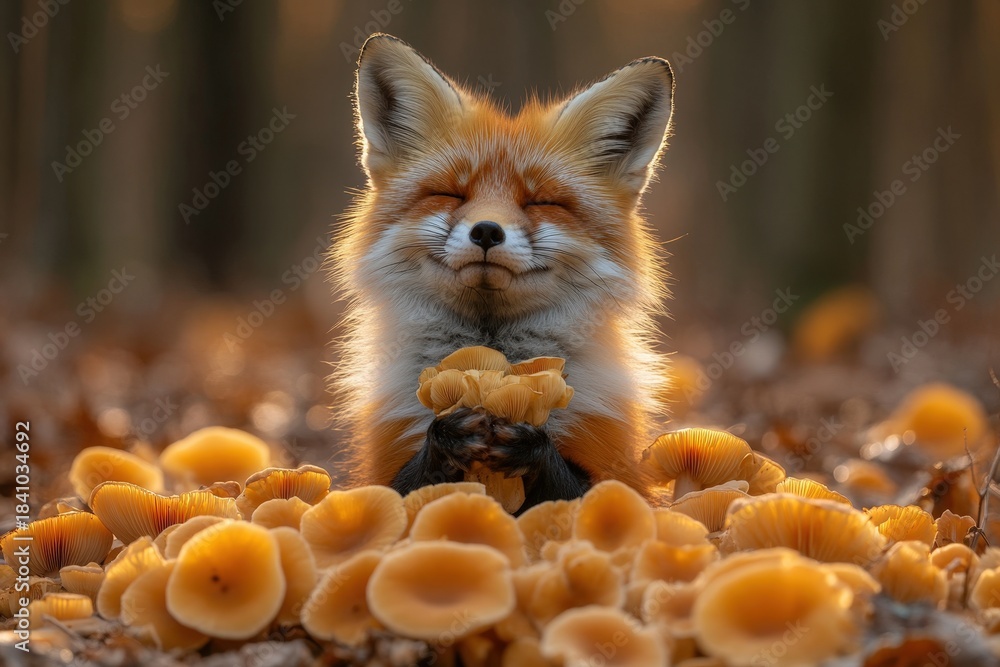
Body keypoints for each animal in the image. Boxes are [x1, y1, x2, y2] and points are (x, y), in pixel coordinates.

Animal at [329, 33, 674, 511]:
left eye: (542, 201)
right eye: (449, 194)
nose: (487, 231)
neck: (495, 358)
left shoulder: (622, 476)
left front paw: (530, 444)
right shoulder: (378, 476)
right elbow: (405, 492)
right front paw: (446, 435)